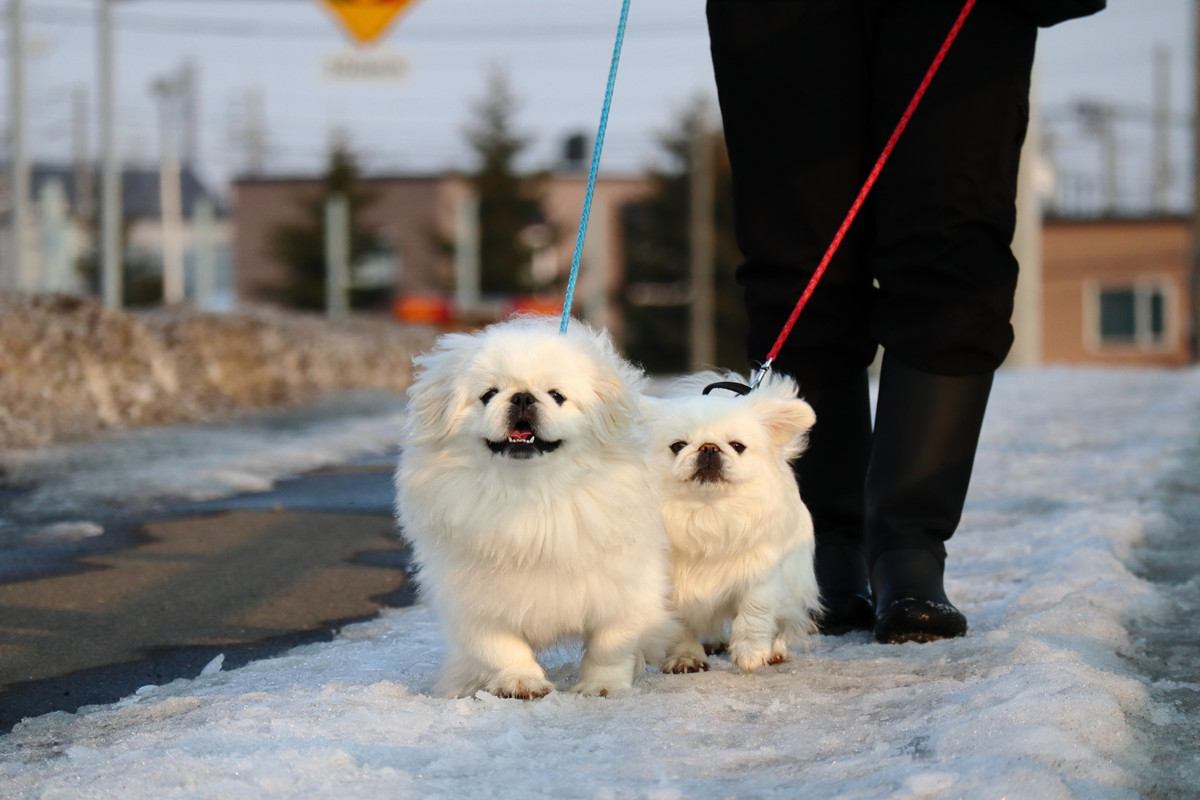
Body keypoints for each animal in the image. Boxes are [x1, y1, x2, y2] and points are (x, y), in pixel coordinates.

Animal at [396, 316, 672, 695]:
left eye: (556, 396)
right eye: (488, 395)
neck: (530, 496)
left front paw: (601, 687)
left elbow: (610, 645)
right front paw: (521, 683)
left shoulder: (624, 591)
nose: (523, 396)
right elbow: (499, 647)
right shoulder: (474, 600)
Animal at [648, 376, 825, 676]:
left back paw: (775, 650)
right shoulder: (670, 586)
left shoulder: (761, 573)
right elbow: (680, 626)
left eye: (738, 446)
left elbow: (754, 613)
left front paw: (751, 653)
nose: (709, 447)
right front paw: (686, 658)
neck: (708, 512)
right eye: (678, 446)